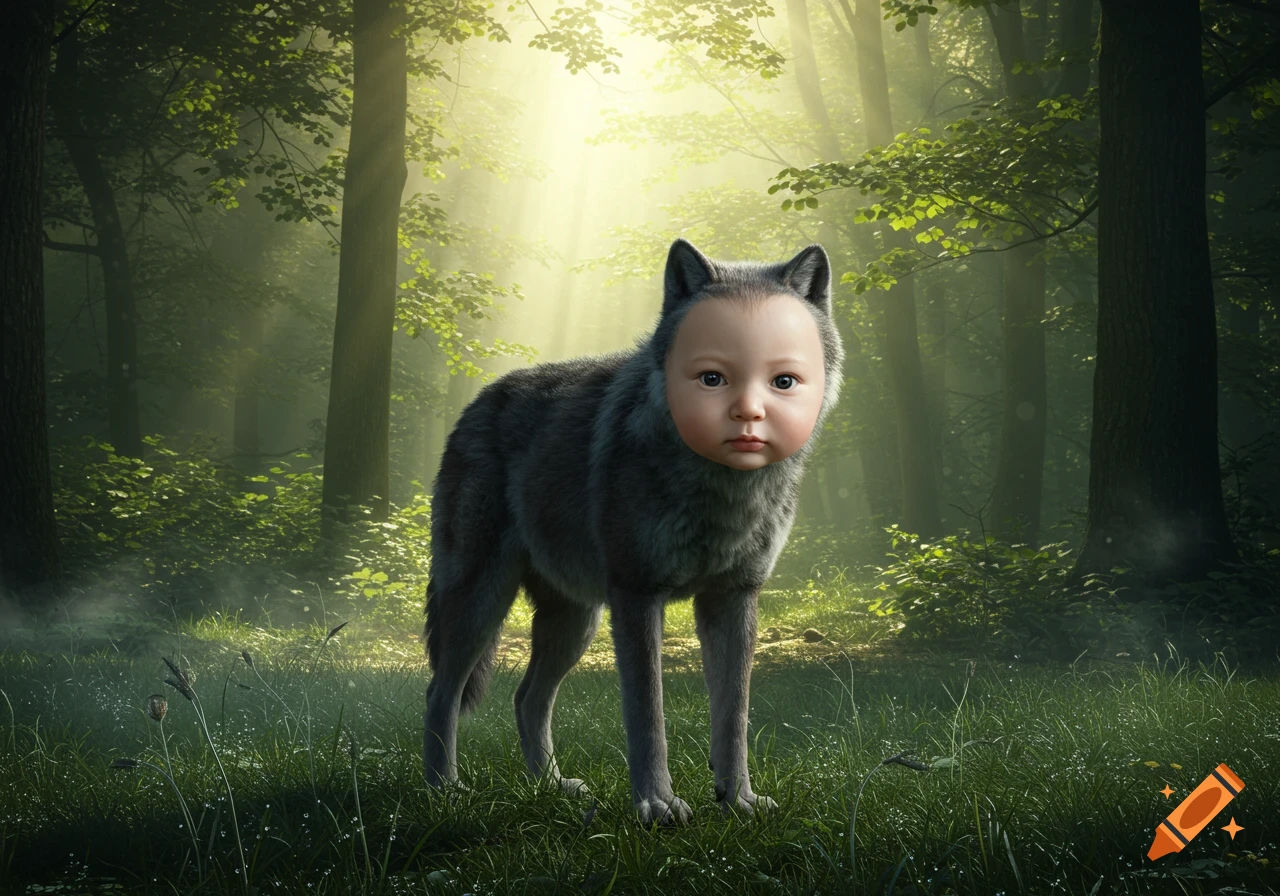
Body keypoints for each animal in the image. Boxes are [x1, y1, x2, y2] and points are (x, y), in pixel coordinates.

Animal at [423, 238, 844, 825]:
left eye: (782, 378)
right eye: (712, 375)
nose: (747, 416)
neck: (720, 492)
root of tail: (476, 405)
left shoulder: (734, 598)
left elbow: (733, 717)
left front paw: (737, 800)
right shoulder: (638, 595)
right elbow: (647, 715)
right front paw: (657, 805)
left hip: (576, 621)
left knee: (526, 699)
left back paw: (551, 789)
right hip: (483, 603)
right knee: (440, 692)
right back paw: (443, 790)